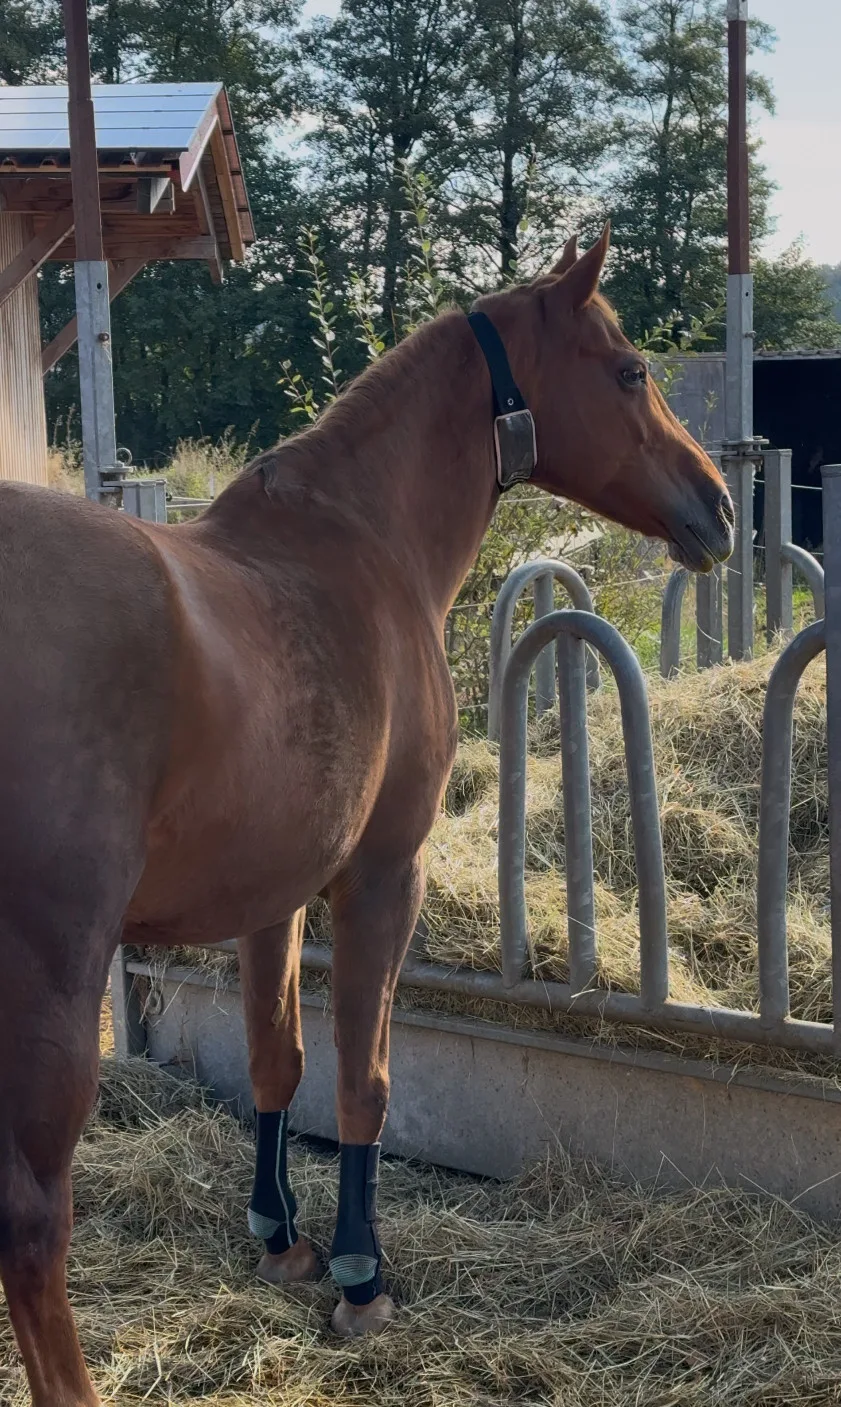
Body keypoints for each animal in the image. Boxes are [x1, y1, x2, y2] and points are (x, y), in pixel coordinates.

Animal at [0, 225, 733, 1406]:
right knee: (31, 1221)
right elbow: (364, 1079)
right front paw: (358, 1274)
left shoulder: (272, 896)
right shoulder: (385, 874)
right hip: (51, 984)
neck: (354, 540)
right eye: (630, 372)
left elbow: (277, 1059)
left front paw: (279, 1235)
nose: (717, 506)